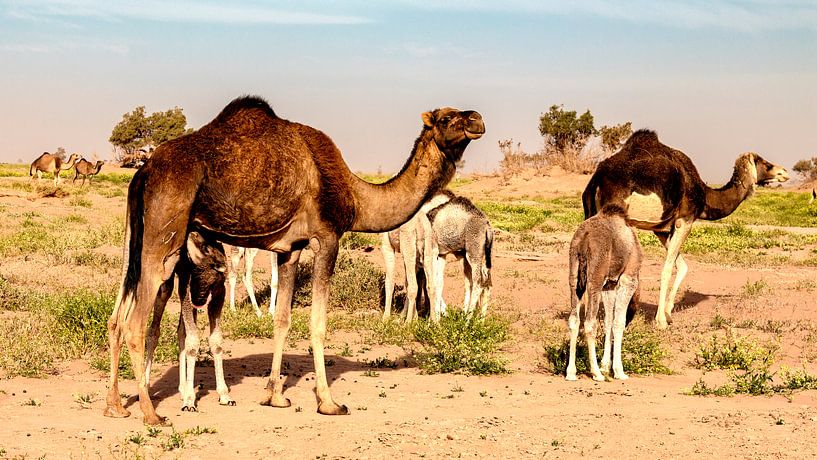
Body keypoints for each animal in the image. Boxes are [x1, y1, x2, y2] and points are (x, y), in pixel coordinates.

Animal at [381, 190, 454, 322]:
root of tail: (421, 224)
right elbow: (407, 282)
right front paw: (412, 317)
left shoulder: (387, 246)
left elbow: (390, 281)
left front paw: (385, 318)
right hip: (427, 250)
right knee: (430, 285)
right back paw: (433, 321)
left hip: (408, 245)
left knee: (414, 286)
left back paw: (408, 322)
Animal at [566, 204, 641, 381]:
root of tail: (584, 238)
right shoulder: (628, 279)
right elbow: (618, 322)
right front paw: (619, 371)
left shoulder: (609, 285)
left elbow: (608, 322)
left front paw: (606, 366)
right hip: (595, 279)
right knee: (589, 322)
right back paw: (596, 373)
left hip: (574, 276)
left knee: (574, 319)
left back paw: (571, 373)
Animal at [582, 129, 789, 329]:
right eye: (765, 163)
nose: (785, 171)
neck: (705, 195)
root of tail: (596, 180)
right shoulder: (685, 220)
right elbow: (667, 268)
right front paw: (661, 321)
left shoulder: (662, 229)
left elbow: (682, 265)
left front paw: (668, 313)